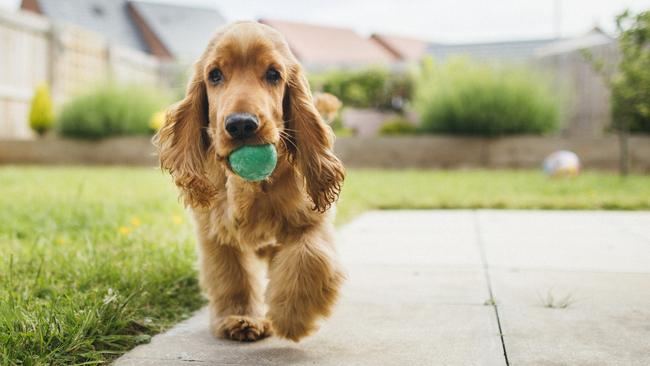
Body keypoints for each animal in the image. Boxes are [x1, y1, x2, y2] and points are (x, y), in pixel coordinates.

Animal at [153, 21, 344, 342]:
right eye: (215, 75)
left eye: (273, 74)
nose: (241, 124)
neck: (252, 186)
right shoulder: (216, 232)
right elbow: (233, 275)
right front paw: (241, 317)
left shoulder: (311, 219)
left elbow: (309, 256)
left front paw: (292, 316)